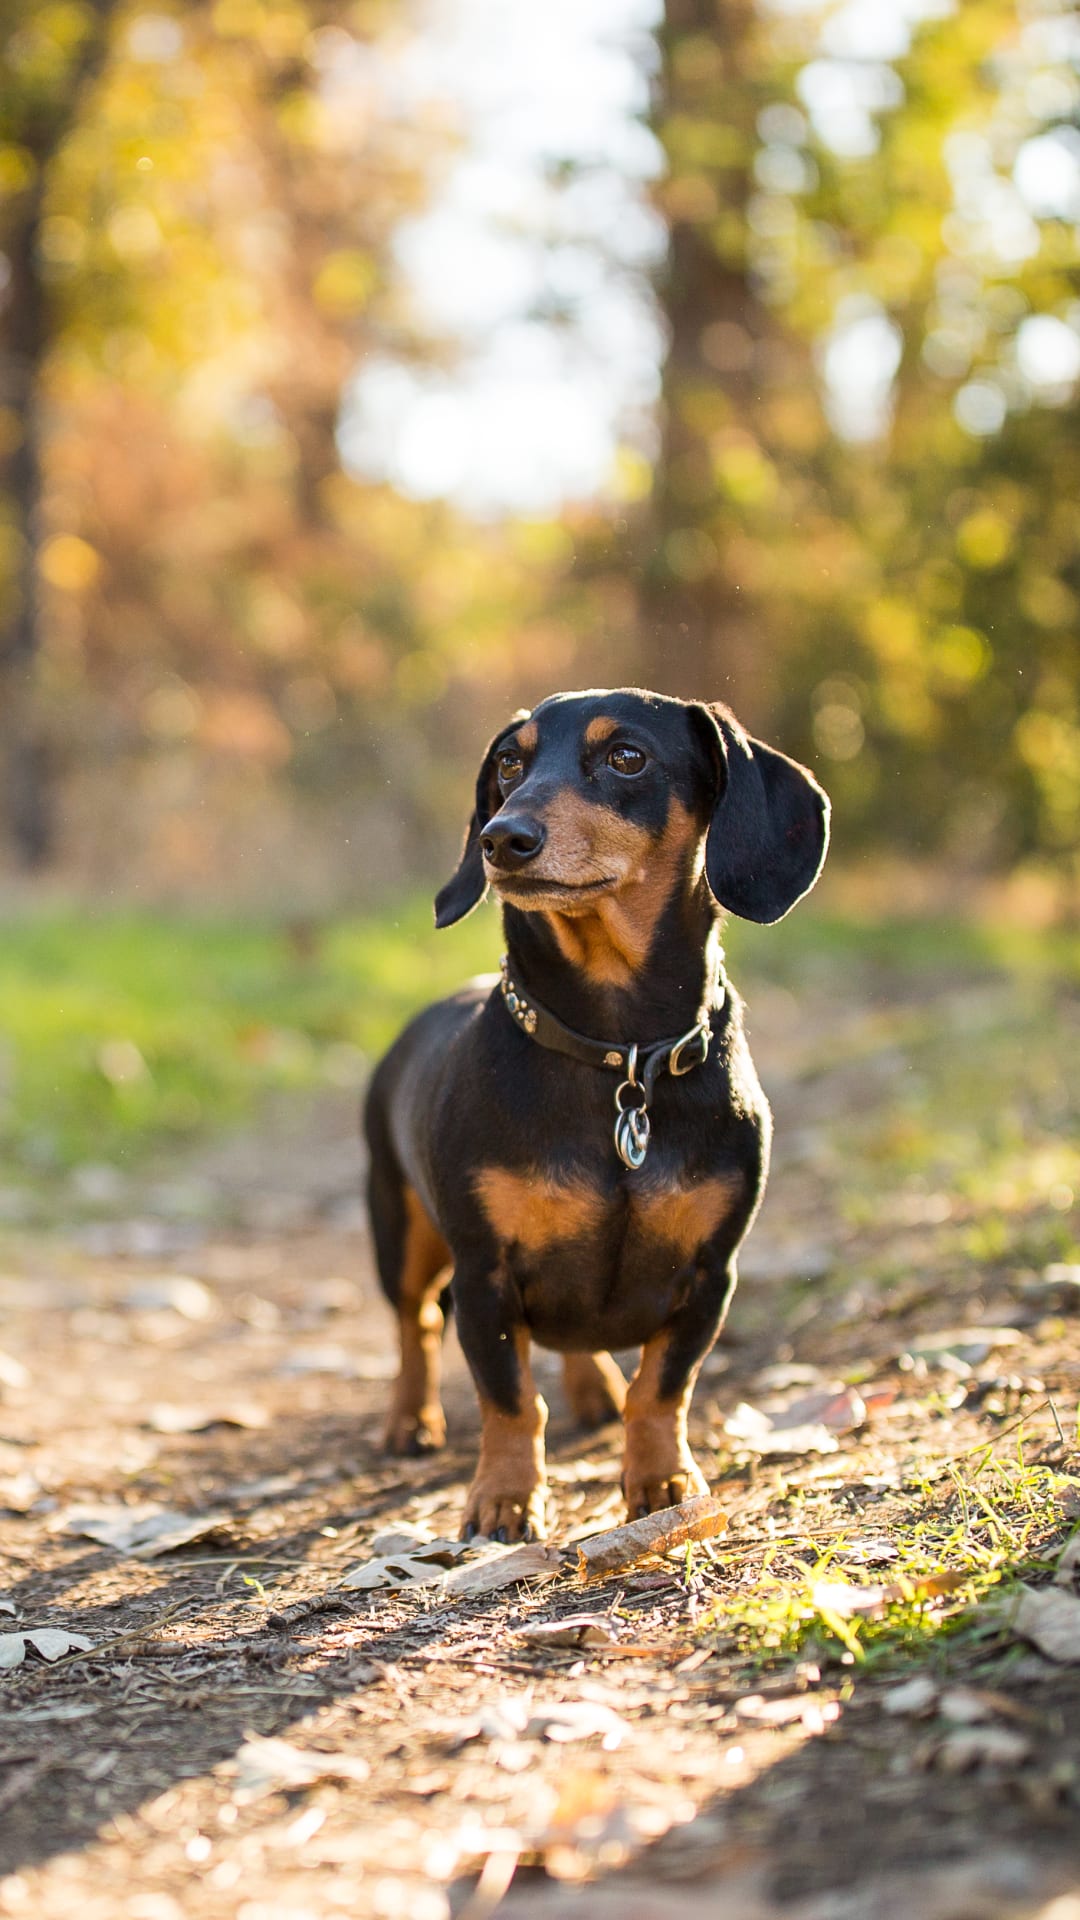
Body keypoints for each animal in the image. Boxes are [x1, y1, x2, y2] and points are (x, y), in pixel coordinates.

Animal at [361, 691, 822, 1543]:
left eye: (626, 758)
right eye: (510, 764)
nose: (501, 838)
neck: (619, 1054)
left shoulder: (710, 1274)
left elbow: (662, 1389)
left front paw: (663, 1482)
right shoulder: (484, 1274)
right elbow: (511, 1400)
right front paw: (504, 1500)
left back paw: (594, 1389)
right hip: (398, 1226)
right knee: (416, 1325)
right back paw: (410, 1420)